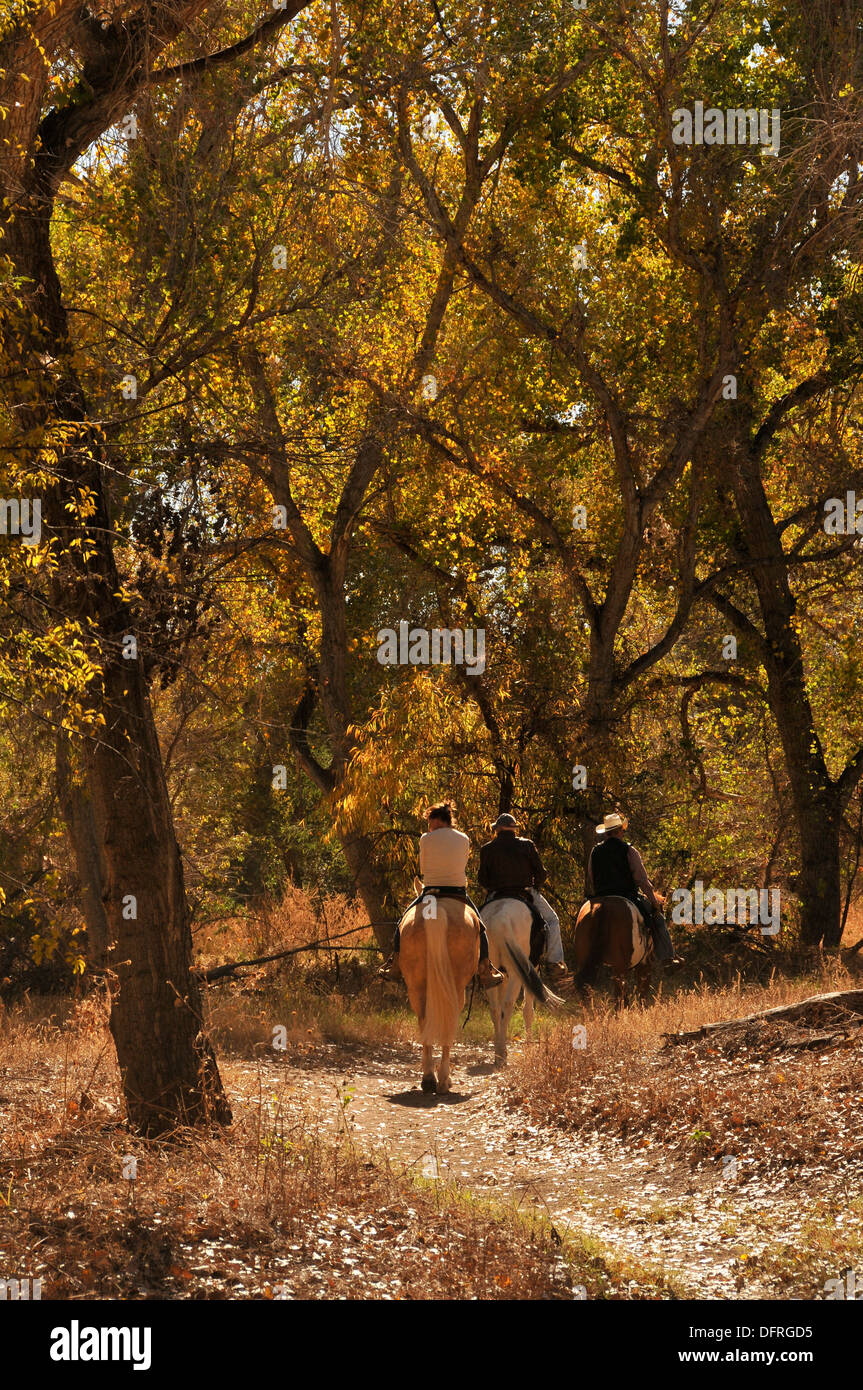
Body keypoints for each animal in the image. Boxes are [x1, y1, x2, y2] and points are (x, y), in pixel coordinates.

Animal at [397, 889, 478, 1095]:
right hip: (456, 988)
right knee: (448, 1023)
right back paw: (443, 1080)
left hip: (416, 986)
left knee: (423, 1021)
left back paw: (428, 1079)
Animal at [475, 900, 561, 1061]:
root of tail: (499, 919)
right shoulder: (531, 968)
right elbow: (528, 1010)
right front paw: (529, 1046)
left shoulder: (502, 975)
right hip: (517, 973)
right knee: (508, 1005)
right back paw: (502, 1054)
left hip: (492, 971)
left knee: (495, 1009)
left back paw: (499, 1052)